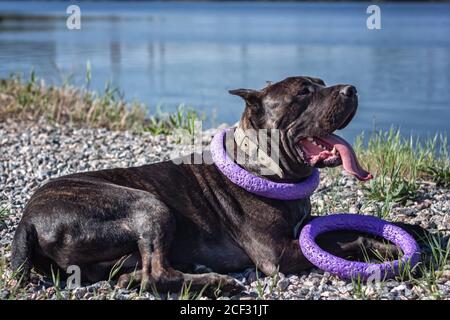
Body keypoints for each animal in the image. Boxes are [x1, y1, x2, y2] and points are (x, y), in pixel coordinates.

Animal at [10, 77, 424, 296]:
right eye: (303, 92)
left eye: (321, 84)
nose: (351, 89)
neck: (261, 163)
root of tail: (28, 219)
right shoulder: (277, 254)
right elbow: (342, 240)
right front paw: (386, 250)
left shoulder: (302, 227)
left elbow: (343, 225)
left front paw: (410, 229)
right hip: (148, 205)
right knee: (157, 272)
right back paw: (215, 283)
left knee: (137, 274)